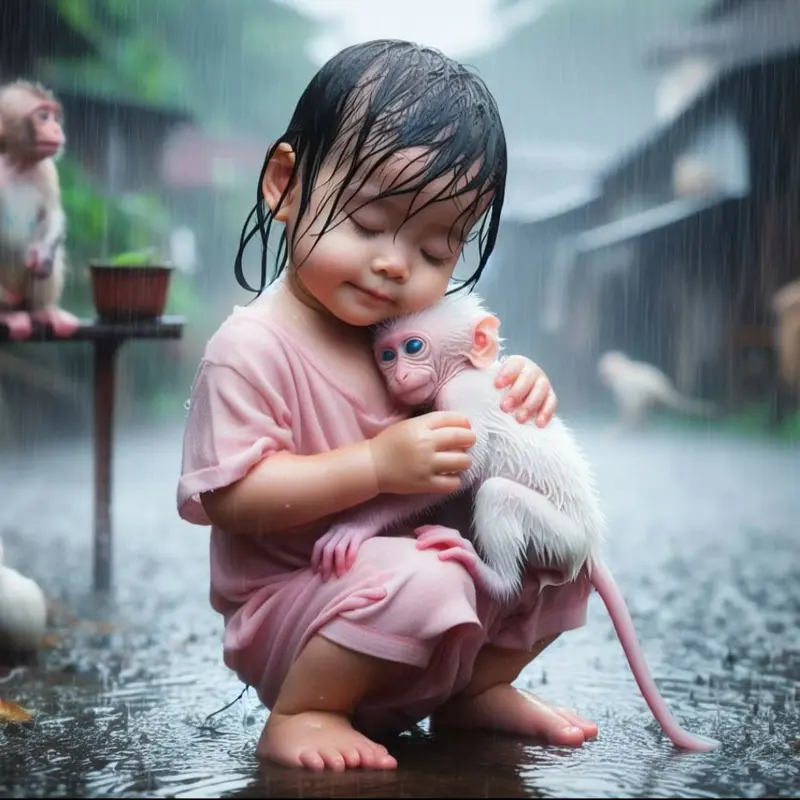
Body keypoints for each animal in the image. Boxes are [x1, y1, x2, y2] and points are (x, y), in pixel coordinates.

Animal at [0, 80, 79, 340]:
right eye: (43, 116)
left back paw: (43, 311)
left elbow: (52, 213)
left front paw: (43, 256)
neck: (16, 162)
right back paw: (8, 314)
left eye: (55, 117)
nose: (57, 129)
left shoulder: (47, 169)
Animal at [310, 292, 719, 753]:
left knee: (495, 494)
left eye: (412, 348)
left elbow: (460, 475)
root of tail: (591, 546)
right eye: (385, 354)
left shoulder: (460, 397)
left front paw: (356, 525)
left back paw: (488, 574)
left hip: (560, 538)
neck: (466, 370)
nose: (396, 375)